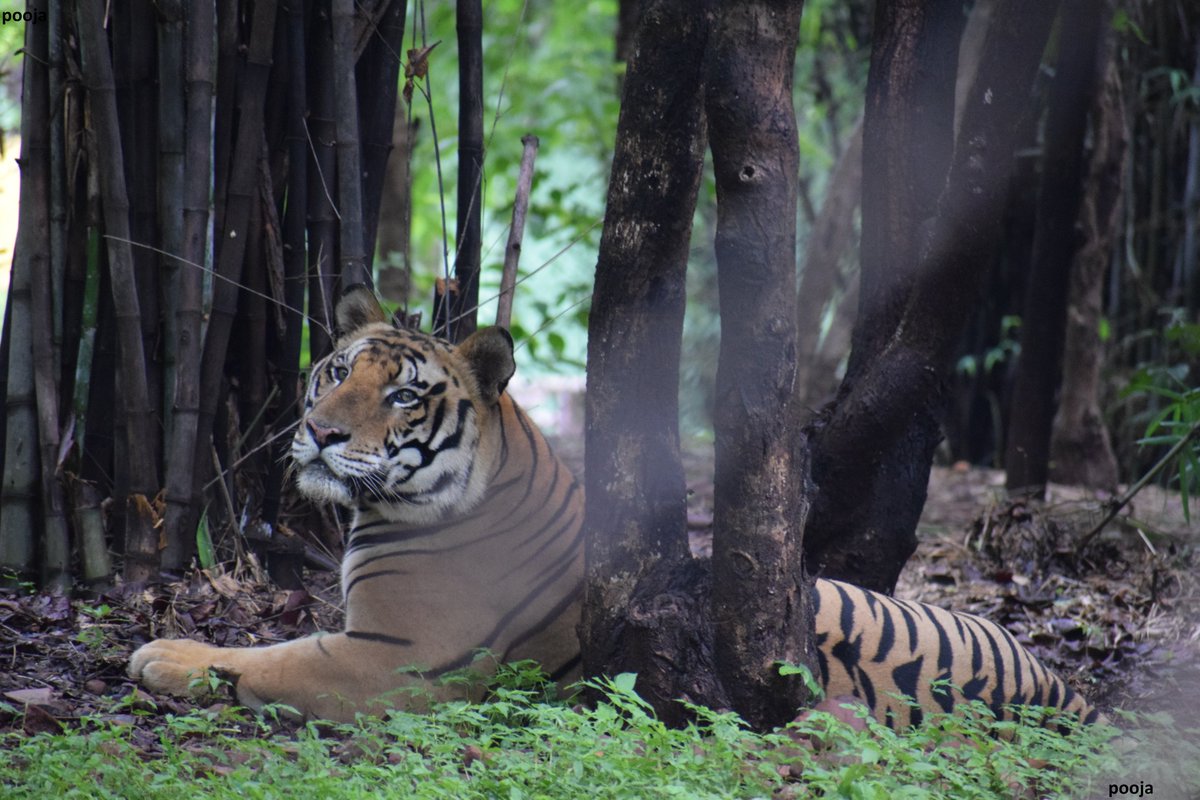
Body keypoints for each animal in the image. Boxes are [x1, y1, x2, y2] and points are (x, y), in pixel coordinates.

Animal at [129, 289, 1099, 734]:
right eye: (336, 371)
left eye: (402, 396)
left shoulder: (388, 658)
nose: (319, 434)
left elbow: (265, 661)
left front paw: (160, 653)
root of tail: (1061, 685)